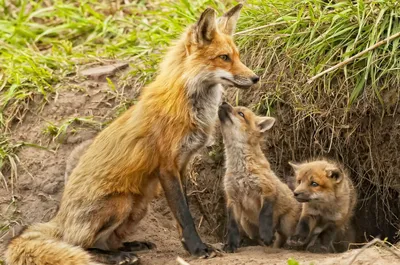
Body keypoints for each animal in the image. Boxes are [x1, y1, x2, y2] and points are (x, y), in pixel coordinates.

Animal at [5, 3, 260, 264]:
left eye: (237, 56)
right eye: (224, 58)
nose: (255, 78)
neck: (187, 104)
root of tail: (60, 218)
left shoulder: (182, 165)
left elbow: (184, 213)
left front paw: (190, 246)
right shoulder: (167, 167)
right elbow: (185, 216)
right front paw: (198, 248)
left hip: (139, 206)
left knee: (104, 241)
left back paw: (129, 246)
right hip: (121, 202)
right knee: (79, 244)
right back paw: (116, 255)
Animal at [219, 102, 300, 252]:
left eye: (241, 114)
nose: (223, 102)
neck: (241, 170)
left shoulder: (267, 190)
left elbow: (264, 215)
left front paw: (266, 234)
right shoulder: (232, 198)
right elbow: (232, 225)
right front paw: (231, 244)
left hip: (286, 223)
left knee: (284, 237)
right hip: (246, 224)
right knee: (259, 239)